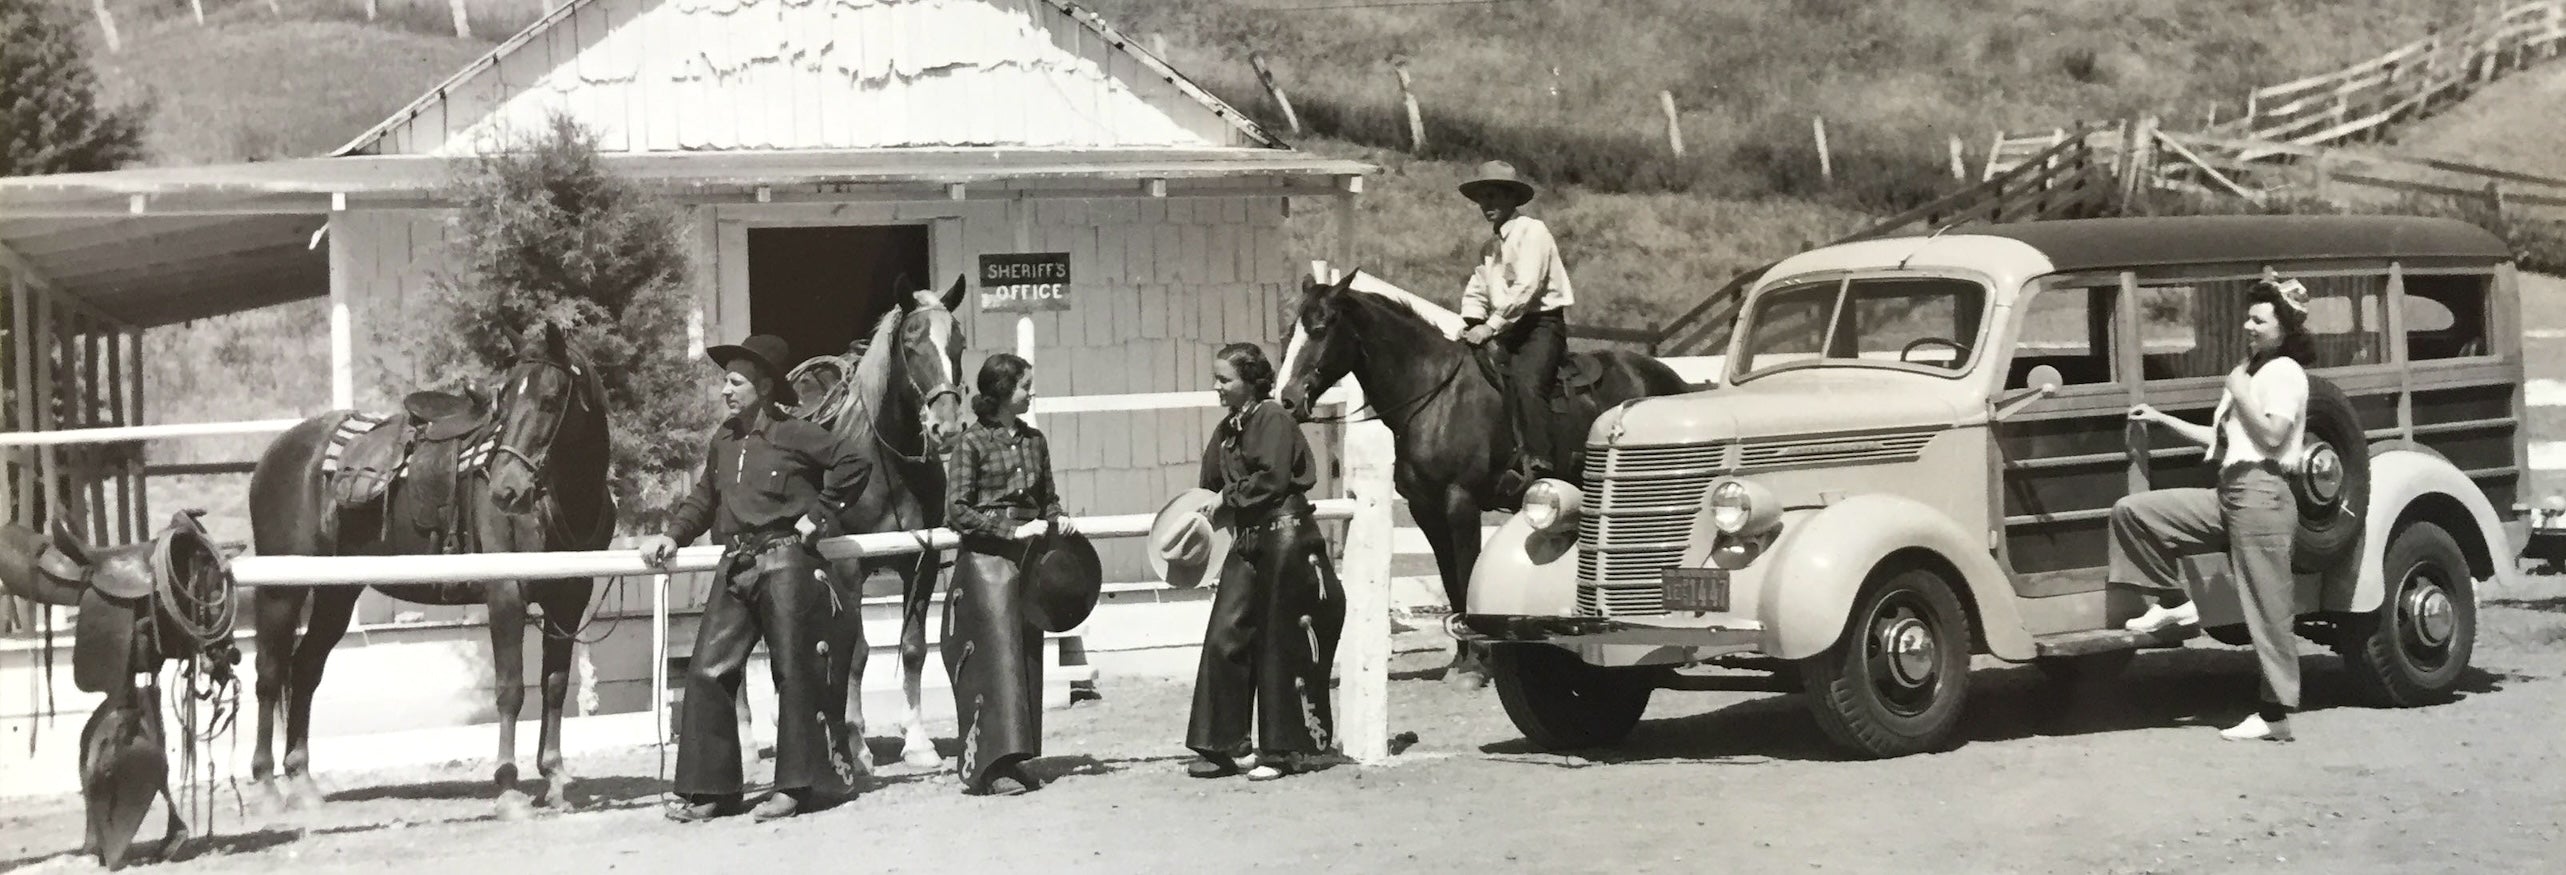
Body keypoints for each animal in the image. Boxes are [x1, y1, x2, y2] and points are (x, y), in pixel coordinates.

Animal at [245, 322, 615, 810]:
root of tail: (276, 453)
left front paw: (553, 777)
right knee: (269, 674)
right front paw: (507, 786)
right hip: (280, 592)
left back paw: (302, 783)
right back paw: (266, 785)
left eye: (551, 399)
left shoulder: (570, 599)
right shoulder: (506, 595)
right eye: (505, 400)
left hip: (335, 595)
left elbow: (554, 684)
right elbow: (511, 690)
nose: (505, 490)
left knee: (305, 670)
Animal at [790, 275, 964, 764]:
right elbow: (858, 652)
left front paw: (918, 741)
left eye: (958, 342)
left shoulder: (922, 565)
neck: (889, 465)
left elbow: (913, 648)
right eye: (911, 343)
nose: (946, 427)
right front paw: (857, 743)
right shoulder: (849, 569)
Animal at [1272, 269, 1693, 682]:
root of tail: (1673, 381)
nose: (1288, 399)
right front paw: (1461, 660)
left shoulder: (1461, 501)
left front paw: (1478, 662)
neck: (1435, 396)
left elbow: (1466, 575)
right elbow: (1451, 582)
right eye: (1291, 331)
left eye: (1321, 327)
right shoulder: (1426, 510)